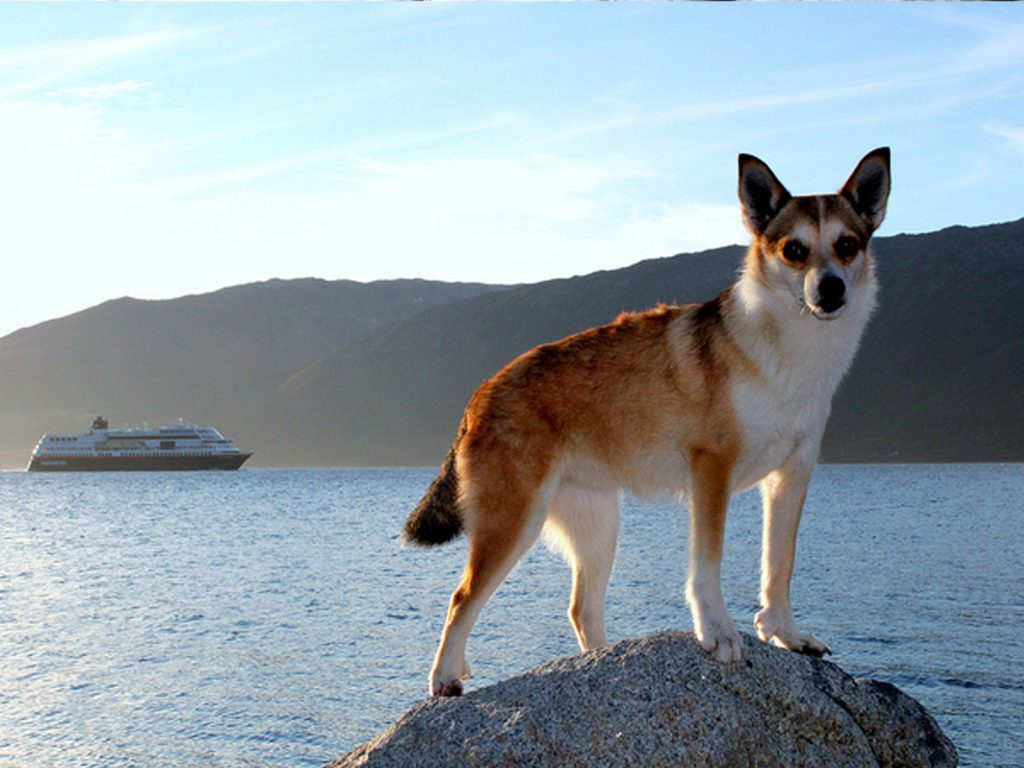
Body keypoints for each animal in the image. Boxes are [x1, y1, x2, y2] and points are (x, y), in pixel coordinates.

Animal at [403, 144, 892, 696]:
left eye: (847, 245)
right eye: (794, 250)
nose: (830, 289)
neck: (784, 351)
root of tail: (480, 392)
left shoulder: (792, 476)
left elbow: (779, 566)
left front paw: (785, 634)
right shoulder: (712, 470)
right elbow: (707, 567)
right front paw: (717, 633)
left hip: (598, 528)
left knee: (581, 609)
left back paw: (598, 662)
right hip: (513, 522)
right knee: (462, 598)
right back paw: (444, 678)